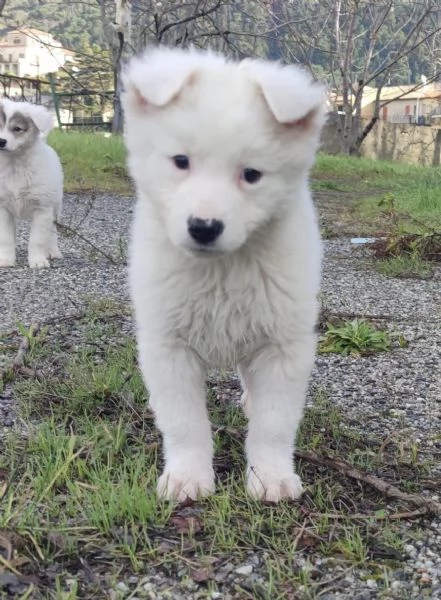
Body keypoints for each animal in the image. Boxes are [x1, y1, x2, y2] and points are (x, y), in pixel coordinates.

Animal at [0, 99, 62, 268]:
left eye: (17, 129)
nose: (1, 141)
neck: (15, 163)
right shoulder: (3, 209)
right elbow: (6, 238)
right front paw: (6, 259)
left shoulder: (42, 208)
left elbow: (37, 240)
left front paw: (38, 261)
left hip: (55, 207)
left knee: (52, 231)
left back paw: (53, 251)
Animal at [122, 48, 324, 502]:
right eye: (181, 161)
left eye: (251, 174)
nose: (204, 227)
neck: (221, 270)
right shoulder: (168, 345)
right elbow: (184, 423)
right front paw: (187, 477)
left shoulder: (283, 344)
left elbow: (274, 423)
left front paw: (270, 477)